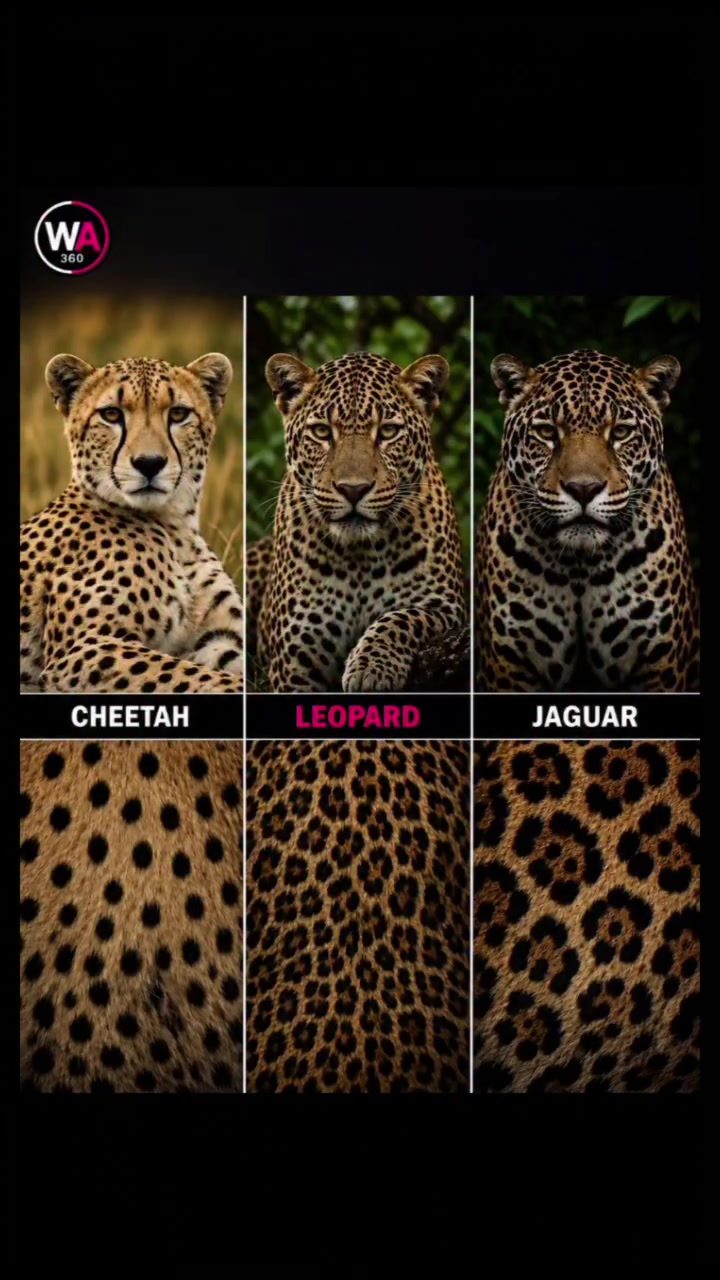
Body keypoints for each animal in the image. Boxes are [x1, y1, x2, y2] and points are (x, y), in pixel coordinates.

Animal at [21, 353, 244, 694]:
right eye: (111, 414)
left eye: (178, 414)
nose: (149, 463)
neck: (175, 528)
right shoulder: (82, 649)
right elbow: (194, 676)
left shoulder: (219, 641)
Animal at [254, 351, 467, 692]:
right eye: (322, 432)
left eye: (388, 432)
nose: (353, 489)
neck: (358, 558)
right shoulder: (295, 662)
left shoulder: (444, 608)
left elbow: (400, 618)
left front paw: (371, 667)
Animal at [477, 349, 699, 691]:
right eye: (547, 432)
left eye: (620, 432)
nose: (584, 489)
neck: (580, 566)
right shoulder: (510, 663)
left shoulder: (660, 662)